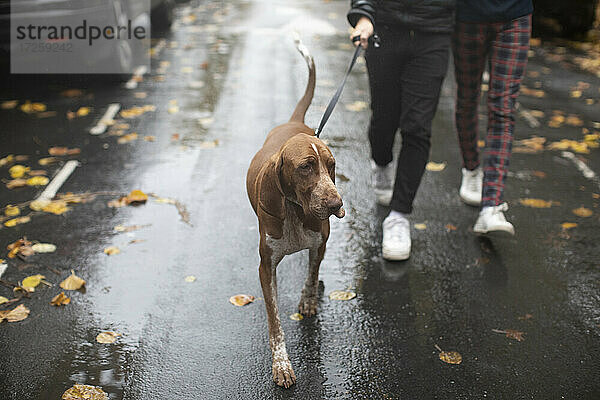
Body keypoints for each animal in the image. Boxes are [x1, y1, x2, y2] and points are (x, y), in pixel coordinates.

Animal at [246, 39, 344, 388]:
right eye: (305, 167)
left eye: (331, 166)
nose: (336, 205)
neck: (293, 211)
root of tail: (293, 121)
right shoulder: (266, 268)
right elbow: (275, 322)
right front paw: (282, 365)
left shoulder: (320, 243)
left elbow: (312, 275)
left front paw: (309, 299)